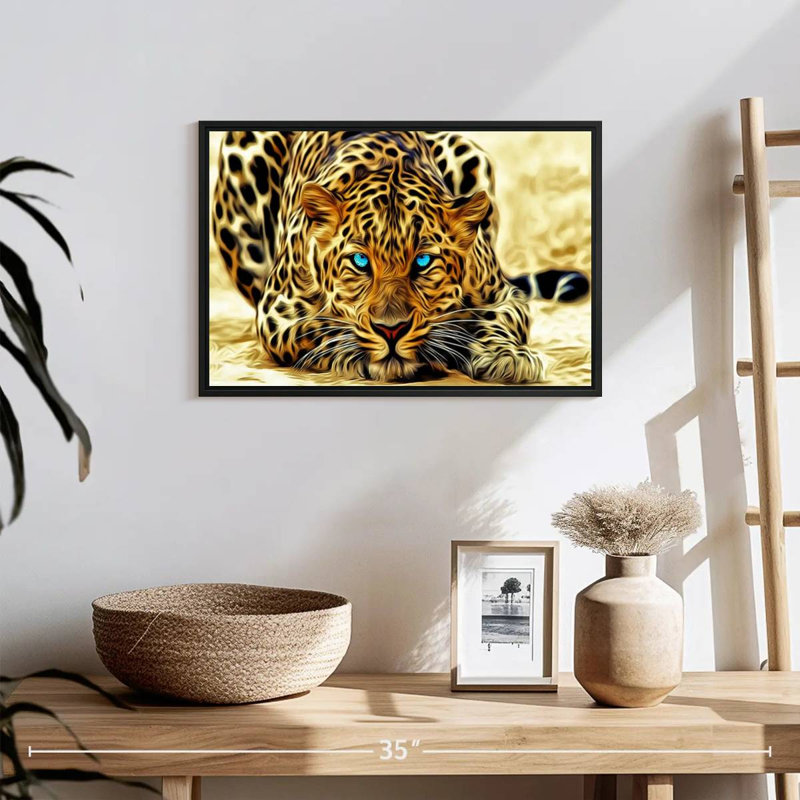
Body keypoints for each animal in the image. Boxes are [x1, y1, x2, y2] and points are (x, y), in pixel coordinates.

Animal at [211, 128, 547, 384]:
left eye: (423, 262)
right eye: (360, 262)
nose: (391, 330)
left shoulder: (504, 295)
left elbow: (497, 319)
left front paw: (508, 355)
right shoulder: (277, 310)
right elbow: (318, 328)